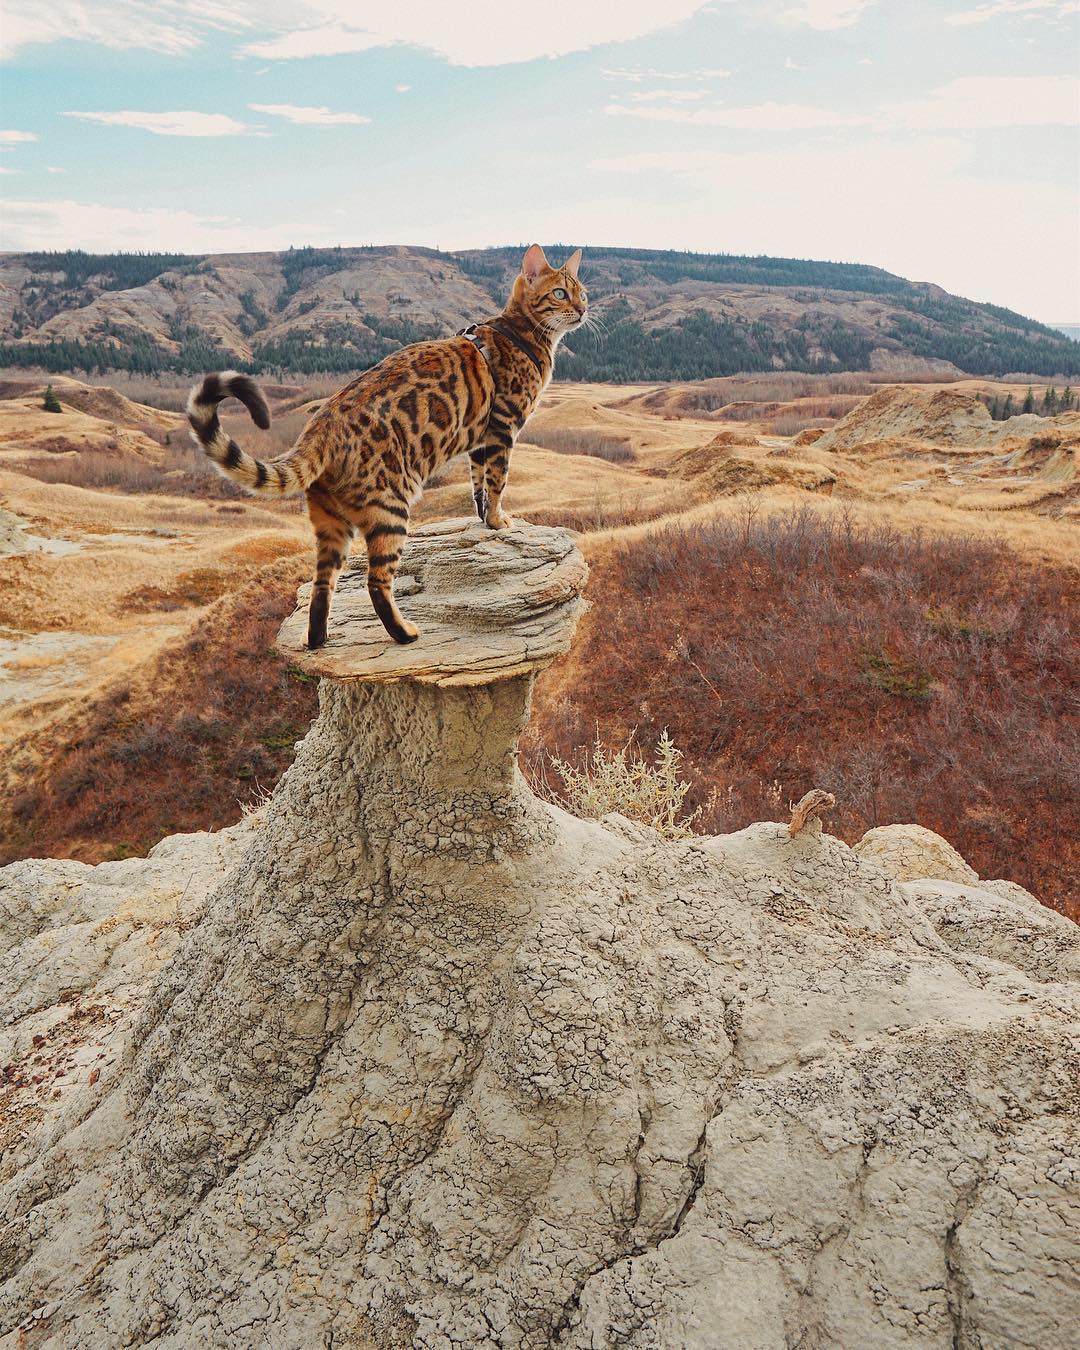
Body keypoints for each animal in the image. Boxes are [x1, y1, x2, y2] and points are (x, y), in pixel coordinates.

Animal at [190, 245, 585, 645]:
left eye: (581, 292)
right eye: (560, 293)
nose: (584, 309)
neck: (520, 331)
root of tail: (320, 426)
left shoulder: (481, 438)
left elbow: (478, 486)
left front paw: (484, 517)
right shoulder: (502, 427)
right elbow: (497, 482)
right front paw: (498, 520)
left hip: (330, 523)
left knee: (321, 584)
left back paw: (318, 640)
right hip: (390, 508)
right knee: (375, 582)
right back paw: (403, 633)